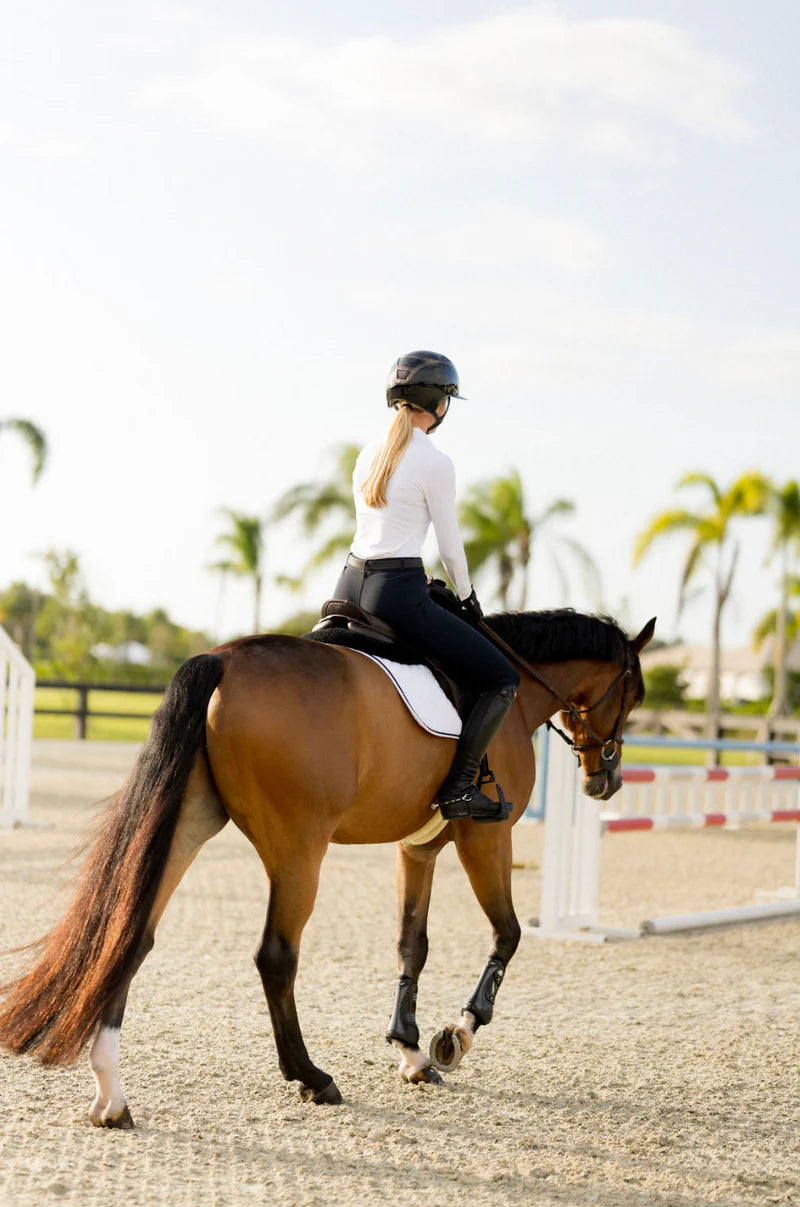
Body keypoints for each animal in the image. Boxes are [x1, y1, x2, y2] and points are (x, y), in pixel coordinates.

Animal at [0, 608, 656, 1124]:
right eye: (635, 695)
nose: (606, 780)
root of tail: (224, 660)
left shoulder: (418, 849)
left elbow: (411, 945)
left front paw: (412, 1053)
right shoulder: (486, 836)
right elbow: (508, 934)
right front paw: (457, 1035)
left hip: (189, 824)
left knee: (132, 935)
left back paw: (111, 1096)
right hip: (299, 850)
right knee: (275, 955)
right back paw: (312, 1077)